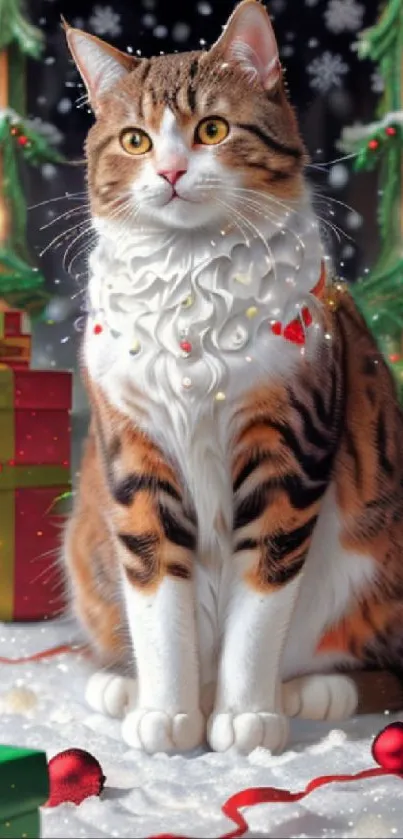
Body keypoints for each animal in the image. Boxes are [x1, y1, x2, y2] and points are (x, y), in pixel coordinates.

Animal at [62, 0, 403, 756]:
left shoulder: (288, 452)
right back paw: (124, 686)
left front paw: (244, 715)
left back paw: (311, 690)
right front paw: (166, 711)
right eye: (135, 140)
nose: (169, 172)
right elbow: (158, 598)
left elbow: (259, 604)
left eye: (211, 130)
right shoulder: (135, 456)